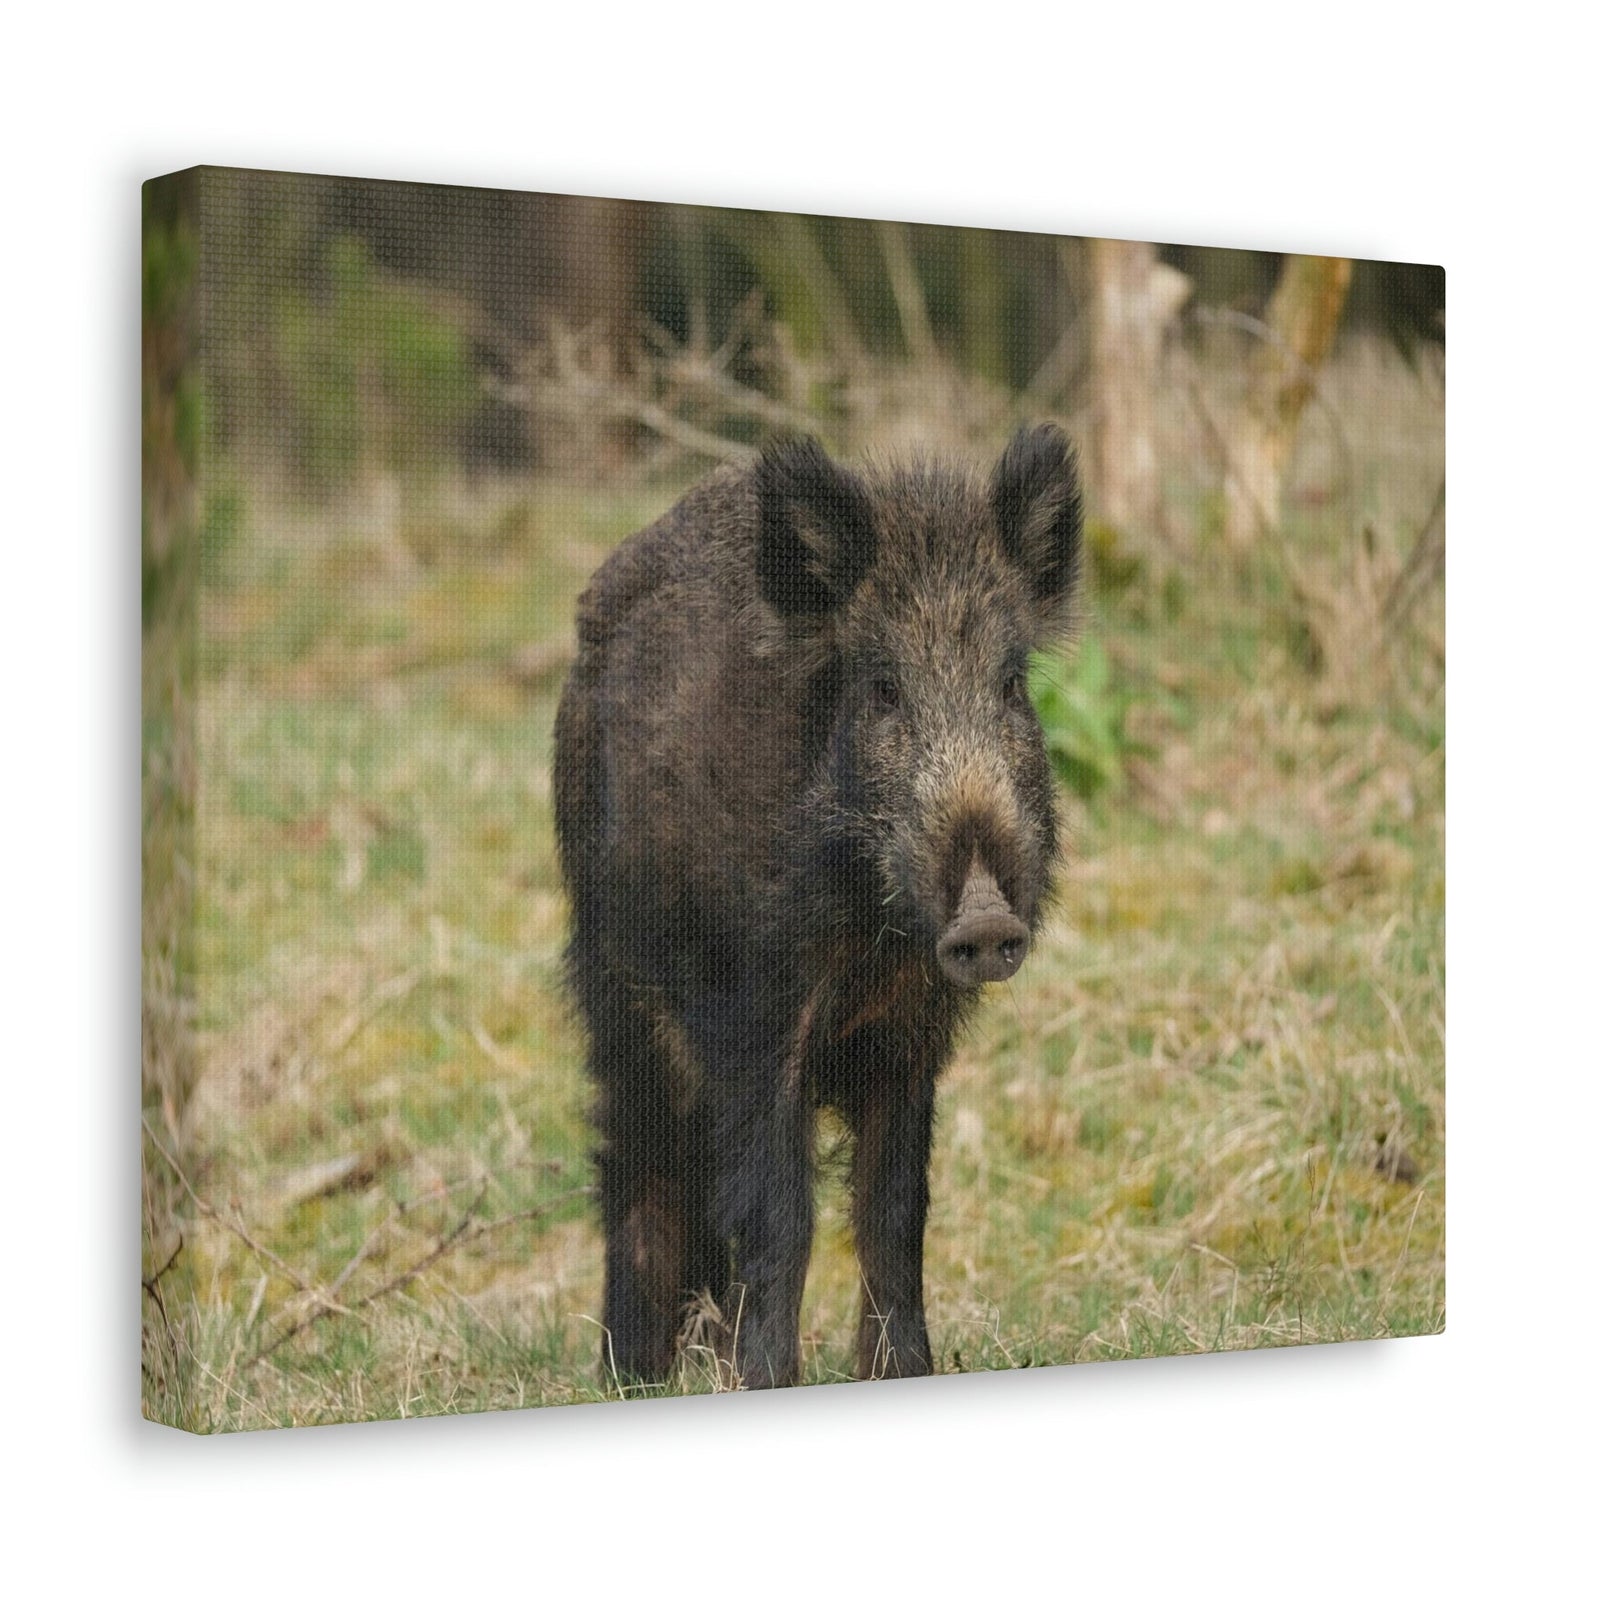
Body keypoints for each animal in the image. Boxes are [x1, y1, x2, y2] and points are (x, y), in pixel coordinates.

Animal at [552, 424, 1082, 1389]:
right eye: (882, 687)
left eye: (1013, 685)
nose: (987, 919)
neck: (869, 933)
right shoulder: (751, 1017)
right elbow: (779, 1214)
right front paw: (766, 1381)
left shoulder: (914, 1033)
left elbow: (896, 1210)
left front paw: (904, 1375)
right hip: (612, 976)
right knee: (636, 1154)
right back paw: (633, 1373)